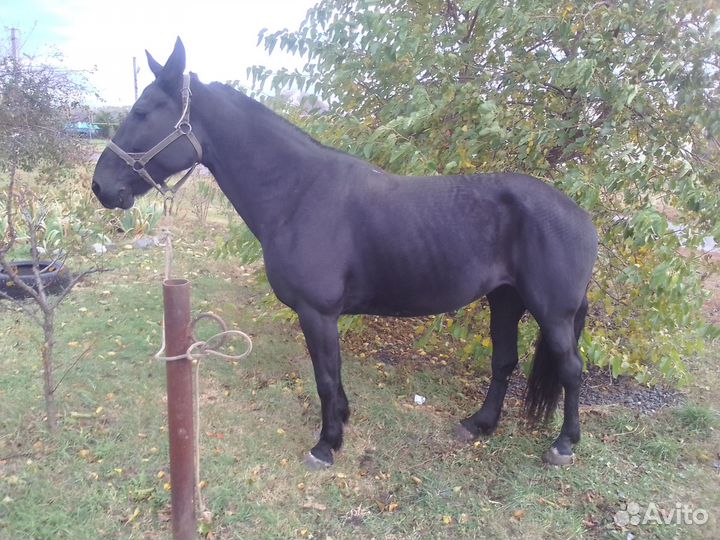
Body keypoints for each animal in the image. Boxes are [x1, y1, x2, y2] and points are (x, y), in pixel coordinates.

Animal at [92, 38, 598, 469]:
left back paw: (563, 444)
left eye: (142, 110)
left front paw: (326, 444)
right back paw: (480, 424)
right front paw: (343, 420)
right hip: (505, 299)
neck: (298, 192)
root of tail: (581, 216)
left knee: (571, 370)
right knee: (504, 361)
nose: (101, 187)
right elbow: (333, 378)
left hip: (551, 312)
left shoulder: (317, 313)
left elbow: (325, 377)